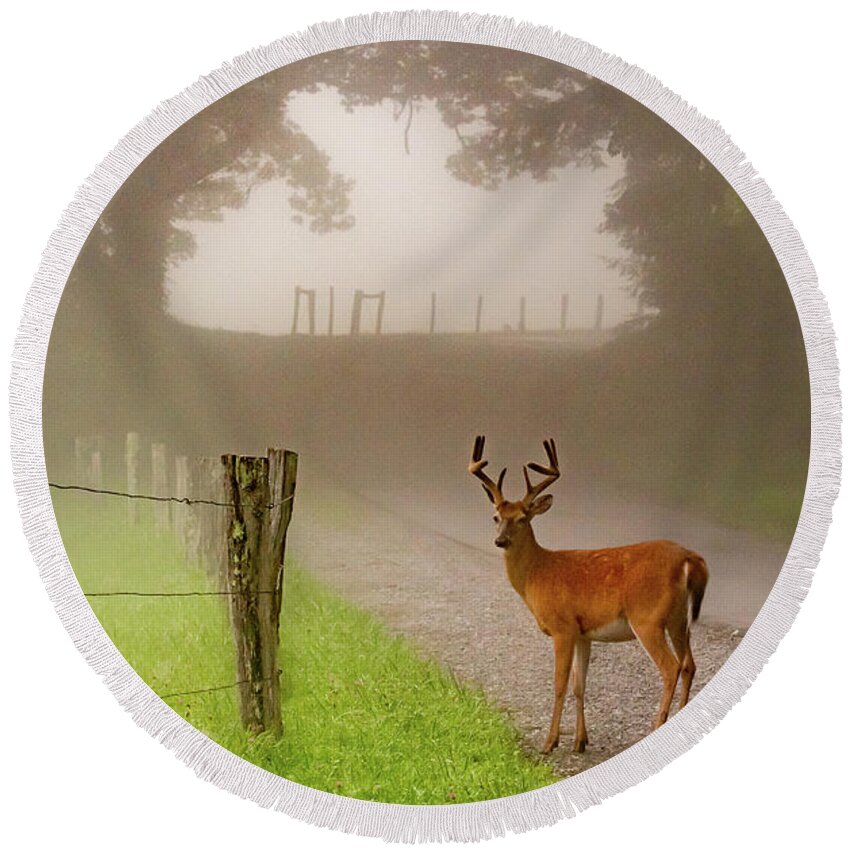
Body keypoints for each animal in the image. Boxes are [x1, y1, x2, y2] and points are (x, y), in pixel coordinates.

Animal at [468, 434, 704, 752]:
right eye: (496, 517)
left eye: (522, 518)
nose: (500, 540)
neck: (538, 573)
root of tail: (689, 558)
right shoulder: (583, 632)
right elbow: (580, 686)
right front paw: (580, 741)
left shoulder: (563, 627)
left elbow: (560, 685)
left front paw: (550, 742)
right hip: (678, 618)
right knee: (689, 664)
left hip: (647, 618)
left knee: (671, 667)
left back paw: (657, 727)